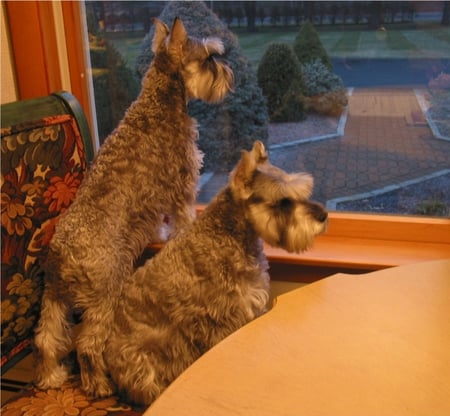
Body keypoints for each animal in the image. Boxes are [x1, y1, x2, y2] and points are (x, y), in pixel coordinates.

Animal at [33, 17, 234, 398]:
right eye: (207, 58)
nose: (229, 74)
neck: (159, 100)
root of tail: (61, 258)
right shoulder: (182, 184)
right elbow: (182, 216)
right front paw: (184, 232)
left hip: (54, 298)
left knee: (47, 338)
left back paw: (52, 376)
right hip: (104, 297)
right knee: (86, 344)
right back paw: (98, 385)